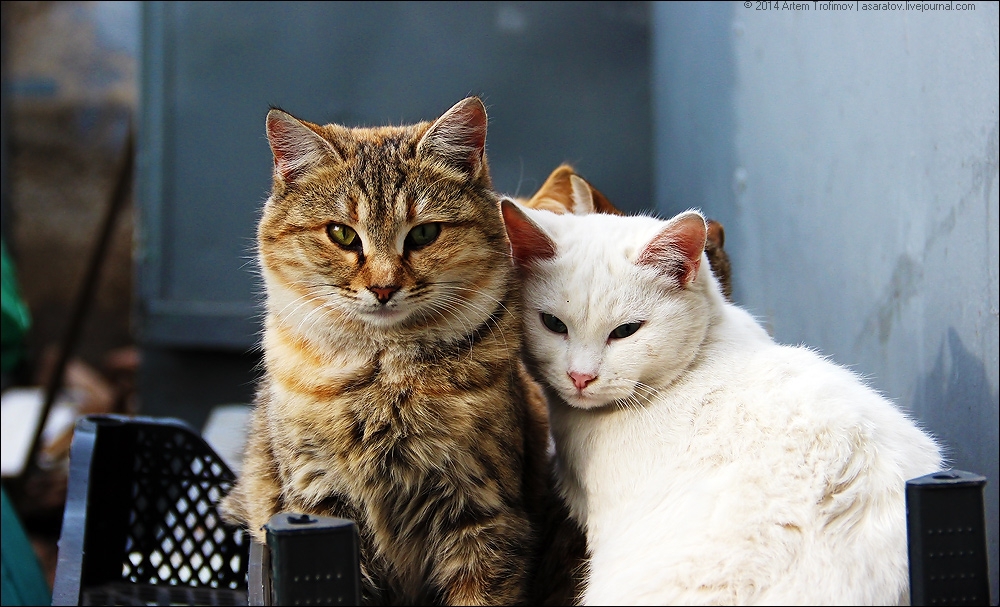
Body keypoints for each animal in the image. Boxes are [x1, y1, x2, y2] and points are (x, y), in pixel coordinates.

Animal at [220, 97, 556, 604]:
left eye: (423, 234)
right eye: (341, 234)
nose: (382, 288)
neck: (383, 371)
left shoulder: (484, 514)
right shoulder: (319, 503)